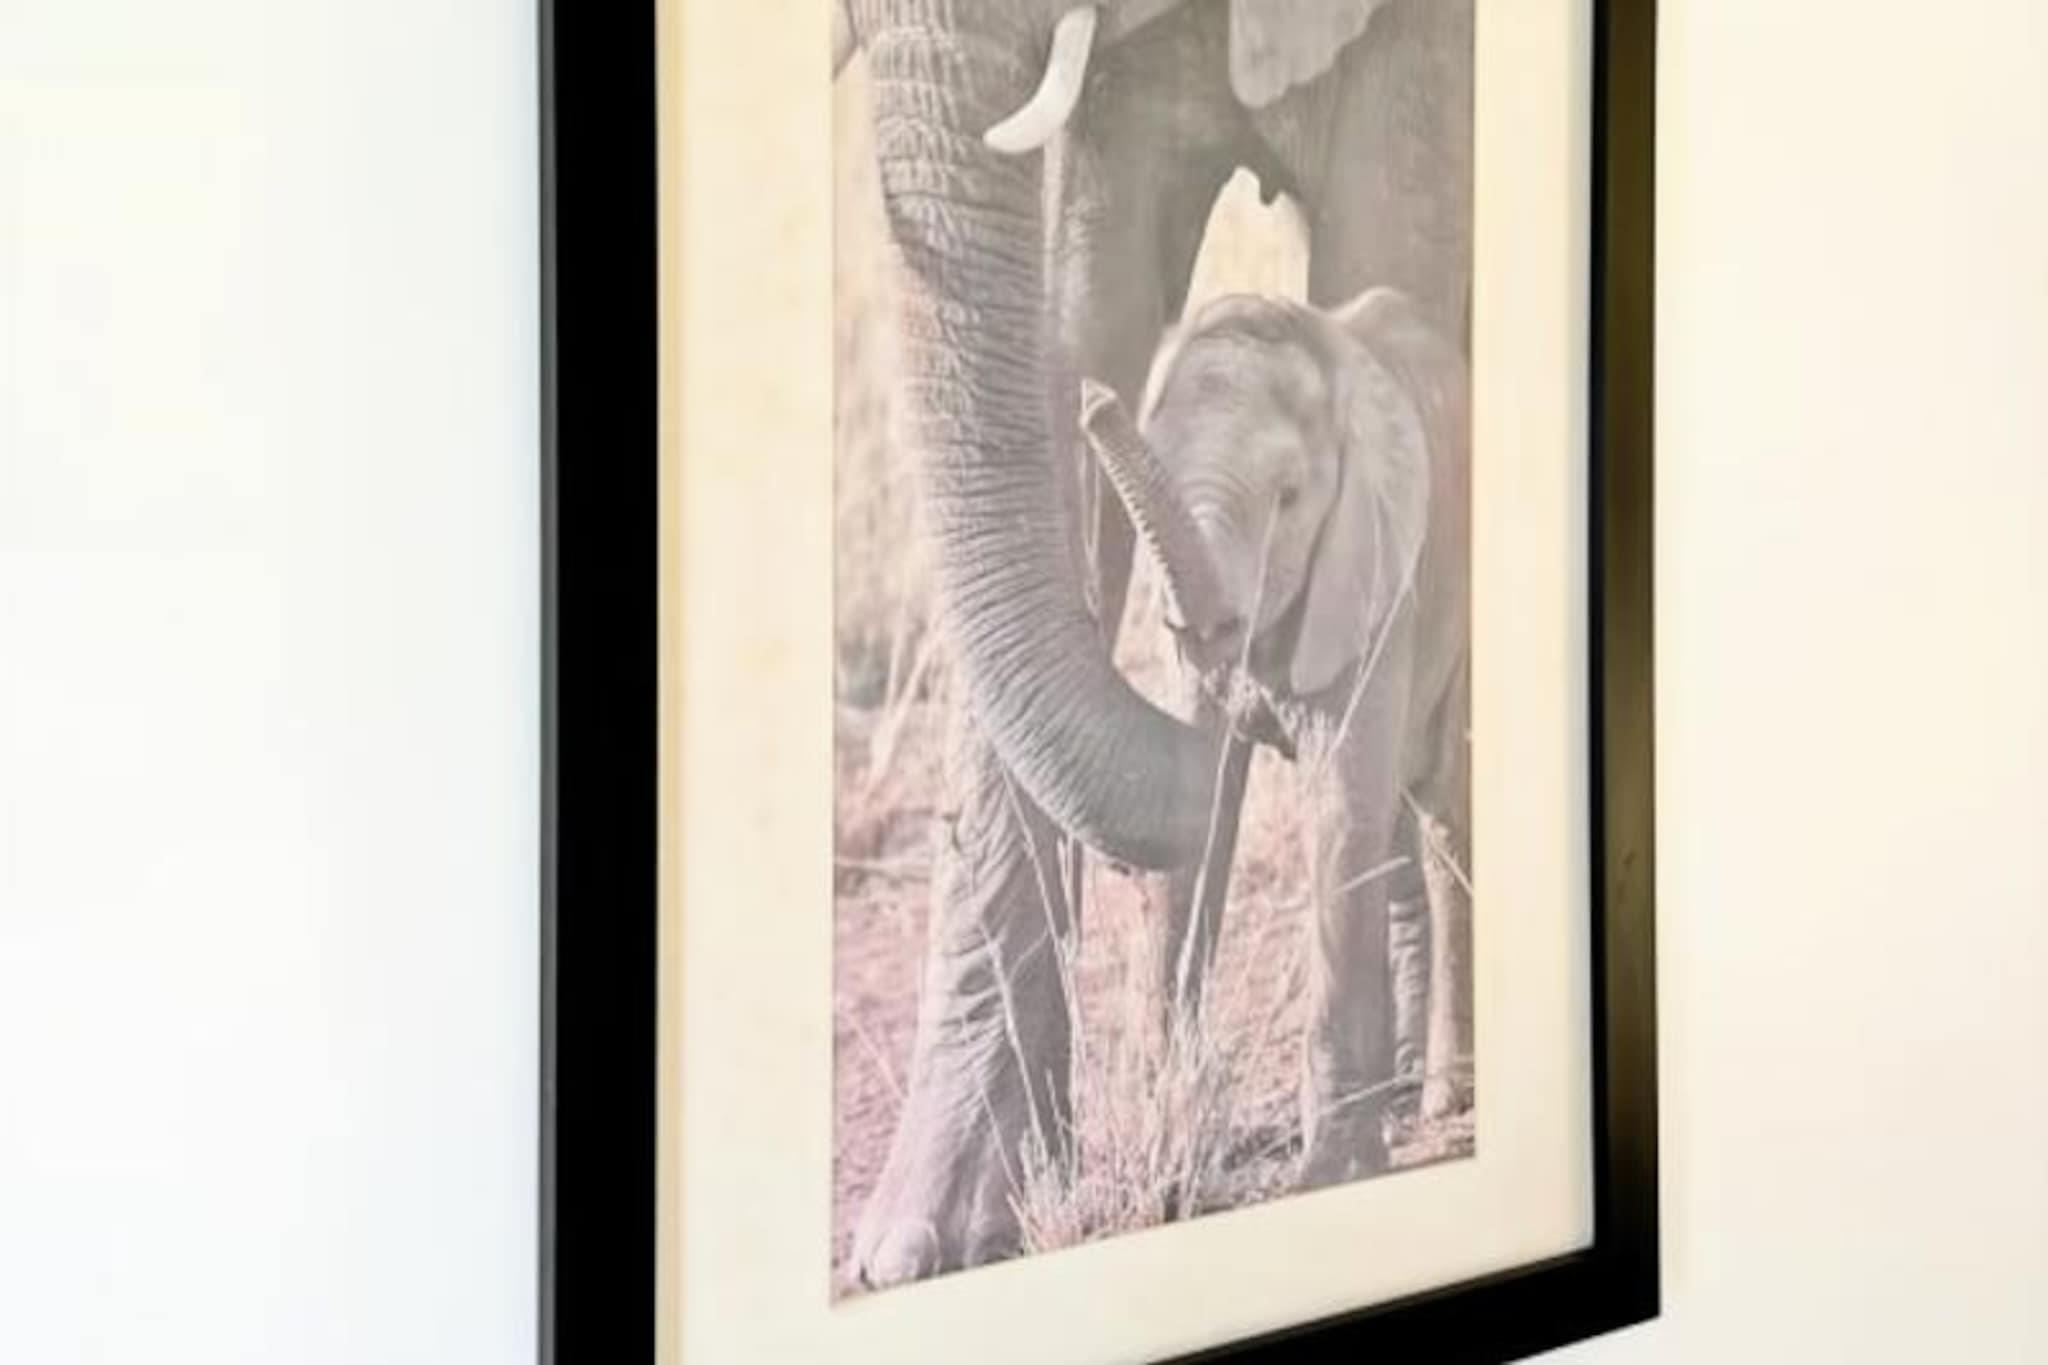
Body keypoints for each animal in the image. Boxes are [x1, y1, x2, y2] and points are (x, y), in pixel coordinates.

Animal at [1079, 284, 1471, 1190]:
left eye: (1290, 496)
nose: (1091, 397)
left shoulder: (1376, 576)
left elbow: (1339, 812)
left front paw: (1329, 1171)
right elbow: (1203, 806)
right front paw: (1168, 1138)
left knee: (1443, 815)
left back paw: (1443, 1099)